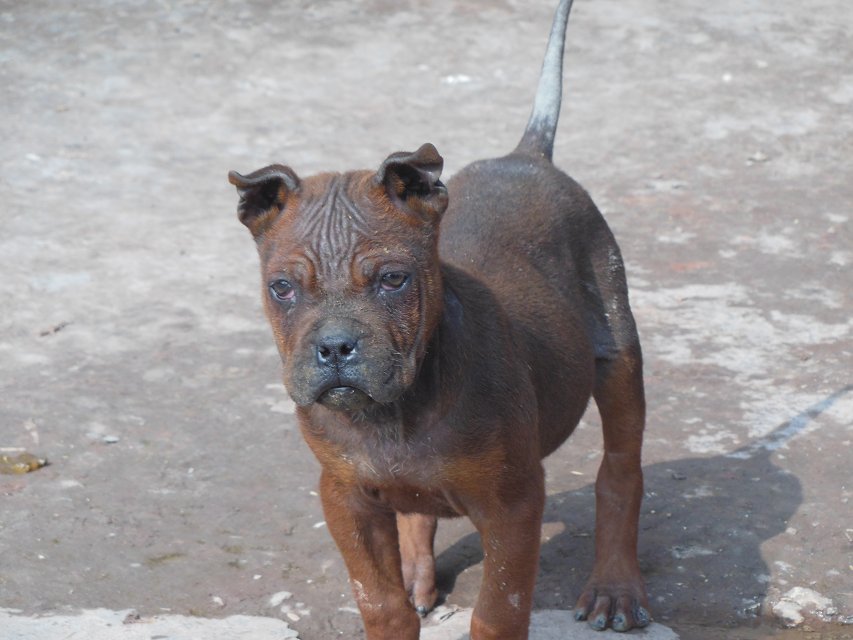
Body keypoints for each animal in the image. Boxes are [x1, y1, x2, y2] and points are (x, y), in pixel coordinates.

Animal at [226, 0, 644, 636]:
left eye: (393, 279)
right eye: (282, 288)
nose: (335, 348)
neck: (399, 409)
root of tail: (526, 154)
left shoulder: (513, 504)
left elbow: (498, 609)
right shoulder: (344, 498)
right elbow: (380, 600)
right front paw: (398, 600)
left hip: (618, 349)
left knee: (620, 471)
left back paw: (615, 588)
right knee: (415, 512)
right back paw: (419, 574)